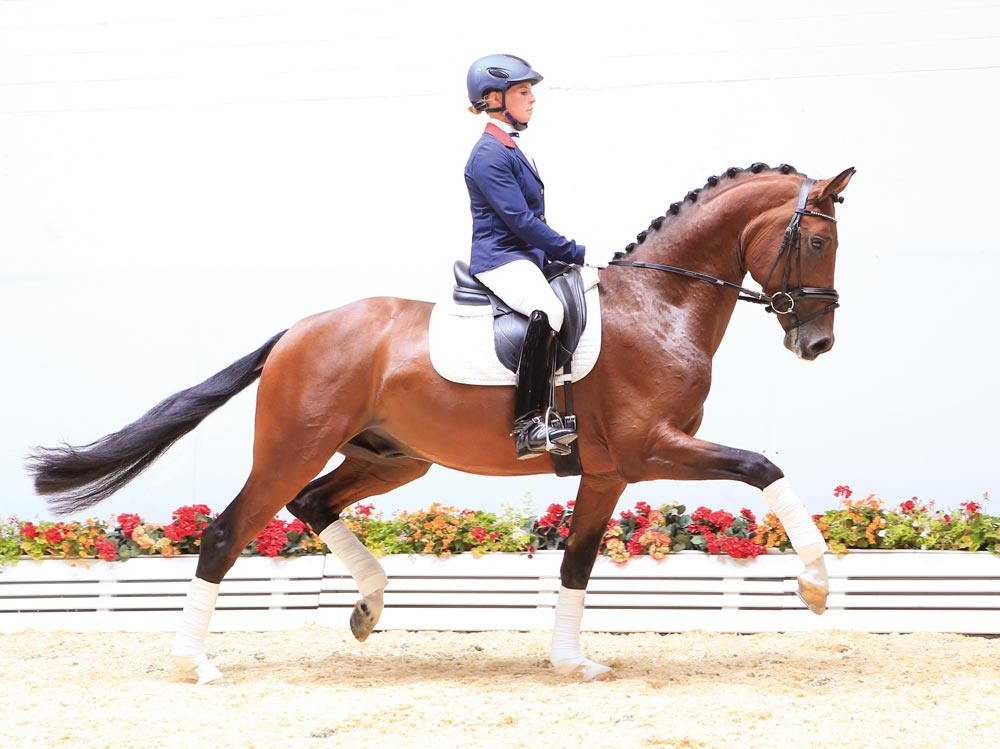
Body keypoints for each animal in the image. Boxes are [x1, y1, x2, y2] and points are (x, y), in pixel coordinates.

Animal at [29, 164, 852, 684]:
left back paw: (368, 604)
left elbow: (577, 564)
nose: (817, 344)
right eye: (817, 240)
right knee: (230, 531)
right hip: (296, 447)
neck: (658, 306)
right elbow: (762, 466)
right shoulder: (652, 449)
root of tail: (297, 330)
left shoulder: (609, 472)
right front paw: (815, 584)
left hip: (394, 457)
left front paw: (571, 661)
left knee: (314, 503)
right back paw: (195, 662)